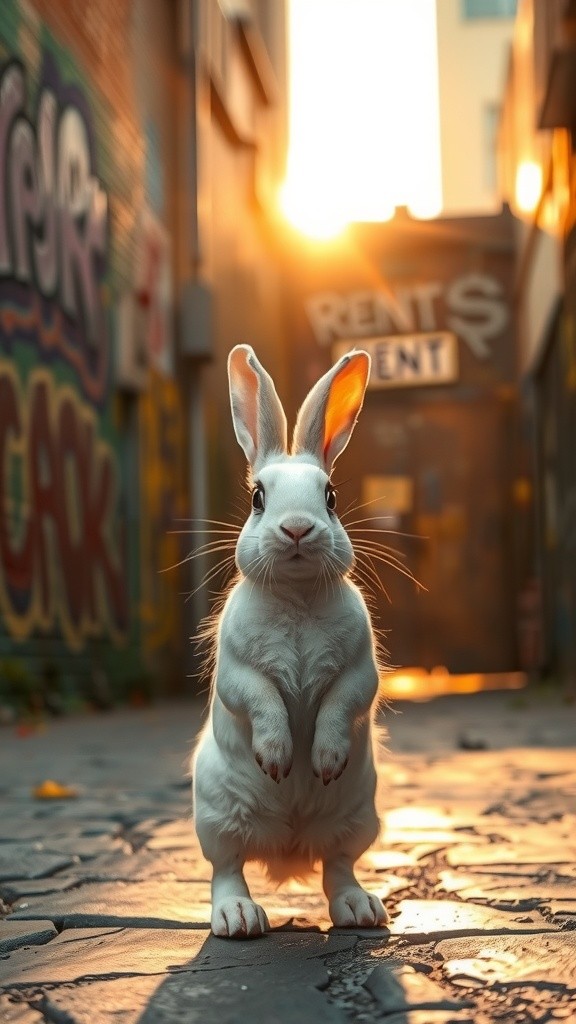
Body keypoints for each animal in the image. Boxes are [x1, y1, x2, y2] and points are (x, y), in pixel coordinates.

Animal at [191, 344, 388, 939]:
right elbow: (261, 698)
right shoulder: (237, 671)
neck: (298, 598)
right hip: (216, 815)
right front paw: (277, 758)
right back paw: (239, 918)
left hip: (358, 818)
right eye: (258, 497)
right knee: (227, 869)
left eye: (331, 496)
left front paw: (323, 761)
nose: (298, 528)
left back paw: (362, 910)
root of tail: (290, 847)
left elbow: (342, 703)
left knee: (337, 867)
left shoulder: (360, 670)